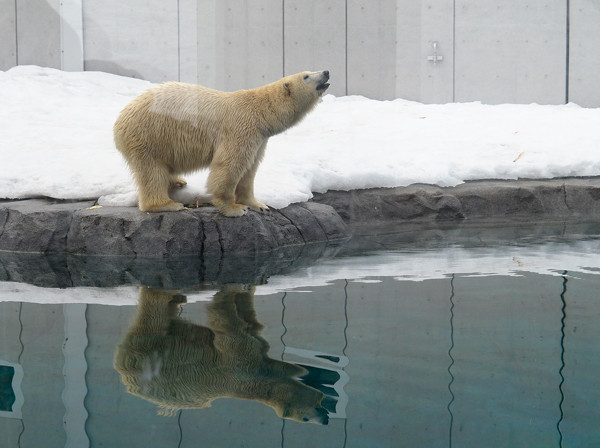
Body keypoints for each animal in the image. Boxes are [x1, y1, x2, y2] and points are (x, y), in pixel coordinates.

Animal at [112, 70, 328, 217]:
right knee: (152, 171)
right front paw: (235, 208)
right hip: (150, 135)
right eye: (306, 76)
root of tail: (120, 121)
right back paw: (167, 204)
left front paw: (259, 205)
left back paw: (177, 181)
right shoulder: (241, 129)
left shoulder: (259, 139)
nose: (326, 72)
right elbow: (230, 166)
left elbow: (250, 169)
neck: (259, 111)